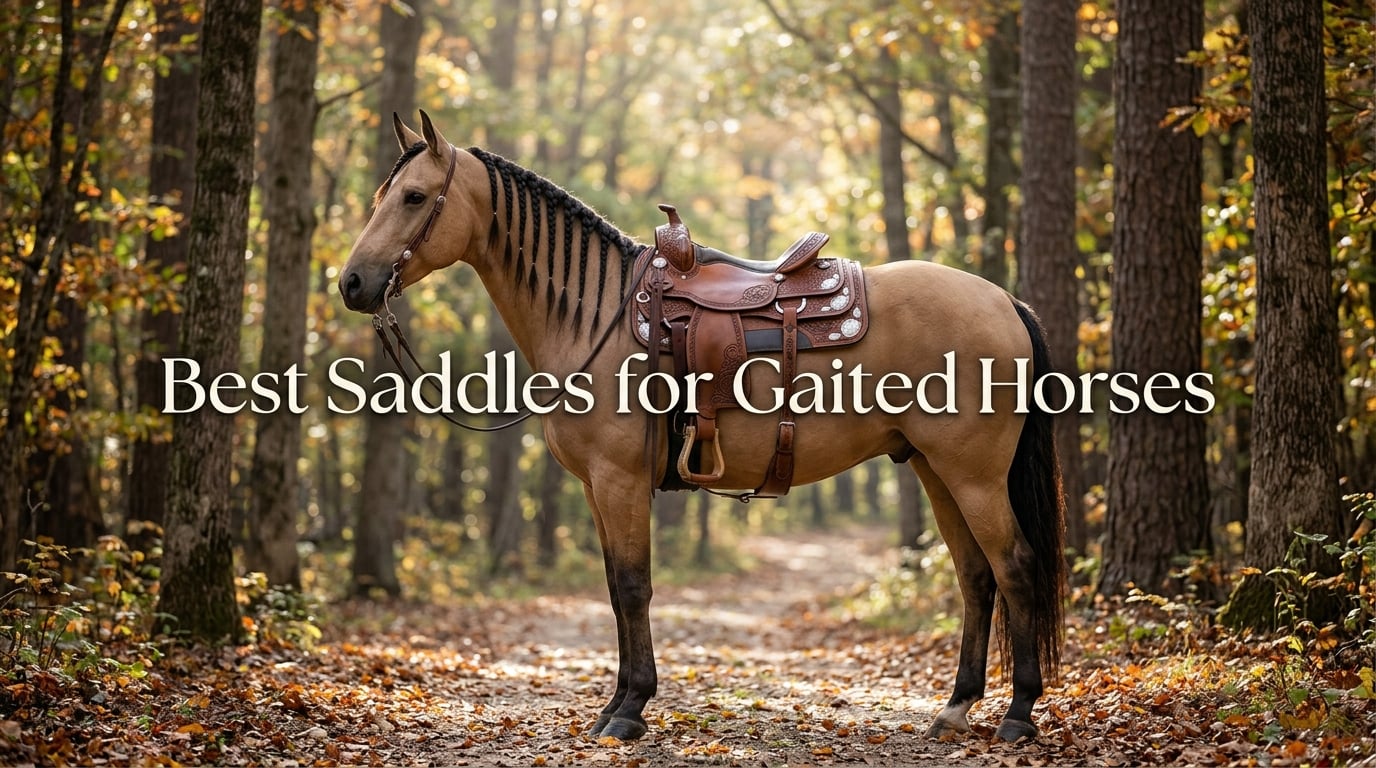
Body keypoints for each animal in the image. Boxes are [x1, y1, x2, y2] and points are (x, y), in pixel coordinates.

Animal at [339, 111, 1065, 743]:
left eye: (414, 196)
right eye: (382, 195)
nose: (351, 283)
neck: (594, 316)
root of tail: (1004, 300)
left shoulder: (620, 482)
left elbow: (634, 587)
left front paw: (629, 710)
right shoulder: (597, 489)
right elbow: (615, 589)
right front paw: (616, 704)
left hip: (974, 476)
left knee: (1016, 567)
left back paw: (1018, 714)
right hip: (934, 470)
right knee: (975, 577)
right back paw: (956, 708)